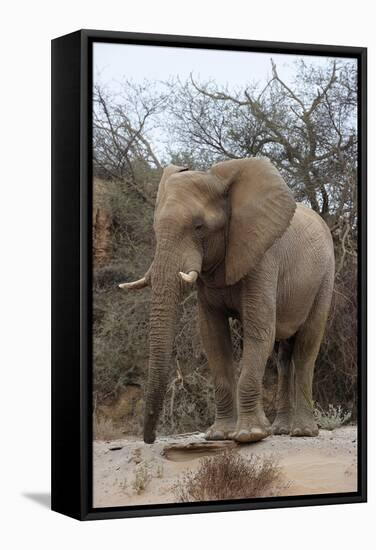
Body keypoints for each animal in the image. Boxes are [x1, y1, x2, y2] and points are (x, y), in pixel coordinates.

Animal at [119, 157, 334, 446]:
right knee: (283, 355)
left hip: (325, 277)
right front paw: (219, 435)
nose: (150, 439)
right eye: (155, 229)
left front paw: (249, 435)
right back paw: (280, 429)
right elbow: (213, 337)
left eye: (199, 227)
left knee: (306, 346)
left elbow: (259, 331)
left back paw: (302, 432)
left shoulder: (263, 257)